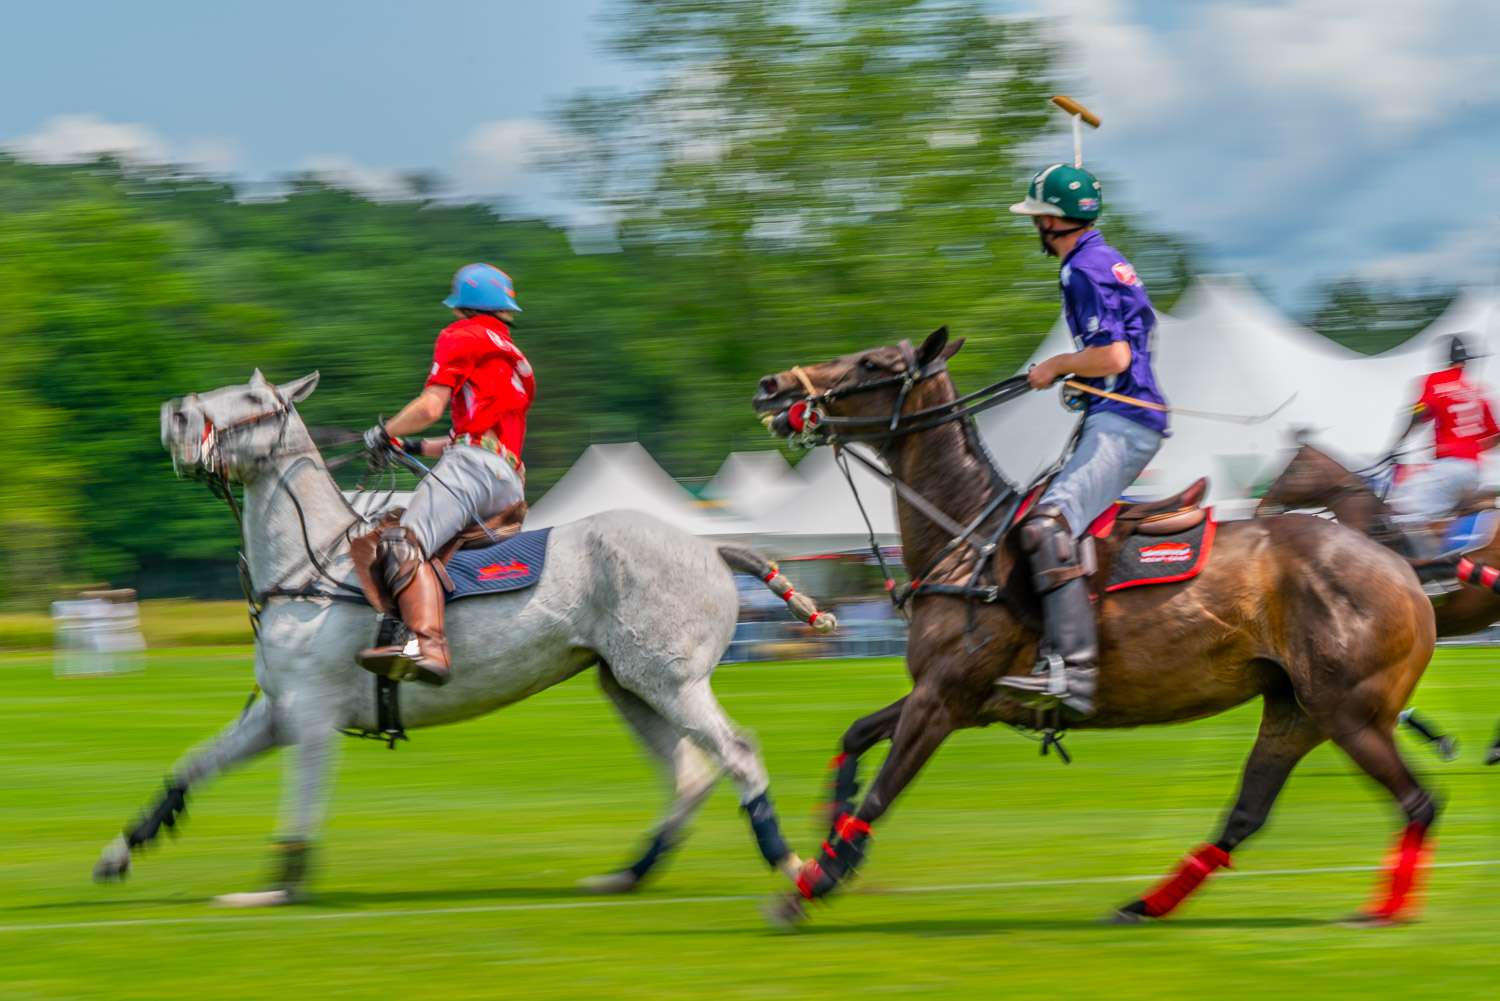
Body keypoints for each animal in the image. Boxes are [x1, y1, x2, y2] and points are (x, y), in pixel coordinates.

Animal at [90, 372, 834, 906]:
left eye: (251, 399)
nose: (172, 414)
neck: (308, 564)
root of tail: (712, 547)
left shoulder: (311, 715)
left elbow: (300, 807)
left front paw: (276, 889)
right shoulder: (276, 712)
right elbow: (192, 765)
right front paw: (119, 851)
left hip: (671, 680)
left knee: (736, 753)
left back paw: (791, 863)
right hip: (627, 683)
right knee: (691, 775)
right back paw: (628, 874)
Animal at [762, 333, 1440, 930]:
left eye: (870, 363)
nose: (772, 386)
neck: (967, 539)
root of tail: (1402, 568)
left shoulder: (944, 700)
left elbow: (882, 792)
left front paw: (811, 886)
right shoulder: (953, 695)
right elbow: (856, 735)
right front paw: (827, 845)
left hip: (1347, 712)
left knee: (1419, 803)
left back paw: (1385, 912)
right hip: (1293, 710)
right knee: (1247, 814)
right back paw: (1143, 906)